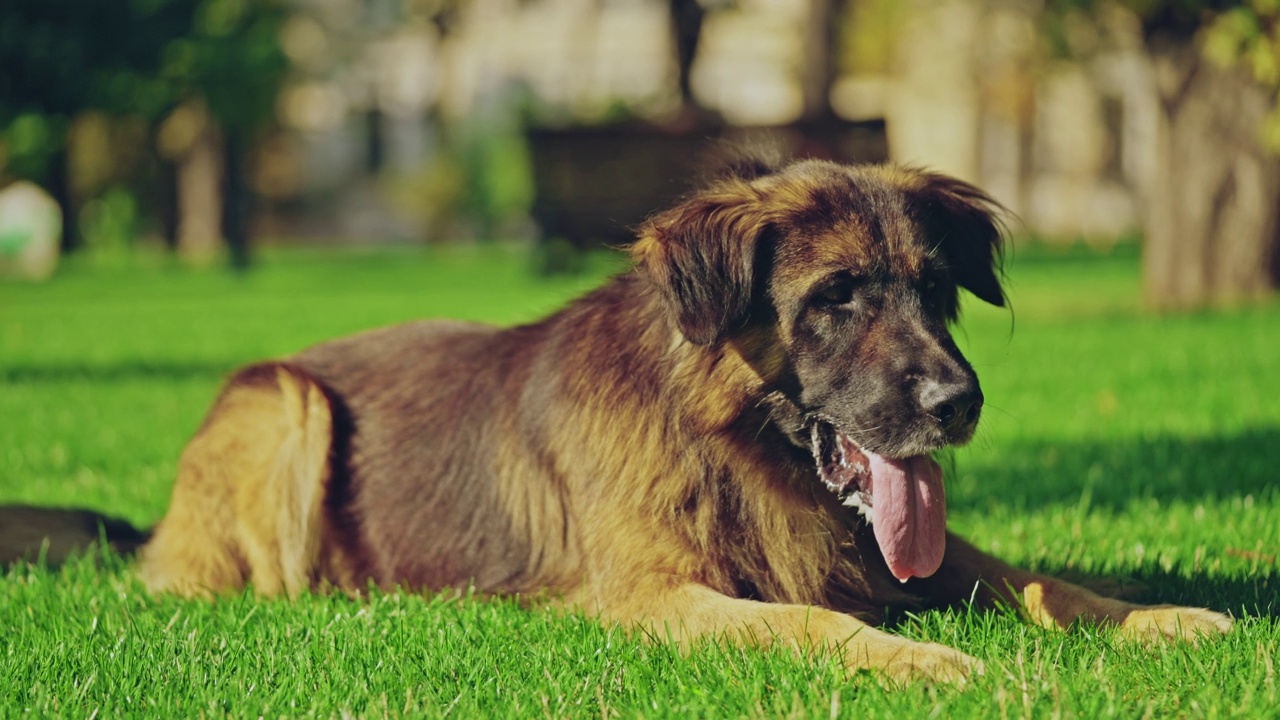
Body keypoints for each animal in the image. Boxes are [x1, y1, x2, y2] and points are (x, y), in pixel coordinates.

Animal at [110, 156, 1228, 676]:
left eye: (935, 291)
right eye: (836, 298)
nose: (960, 404)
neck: (730, 449)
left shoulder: (908, 550)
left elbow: (1041, 581)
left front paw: (1158, 616)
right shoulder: (650, 595)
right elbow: (807, 620)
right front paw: (914, 658)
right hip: (280, 398)